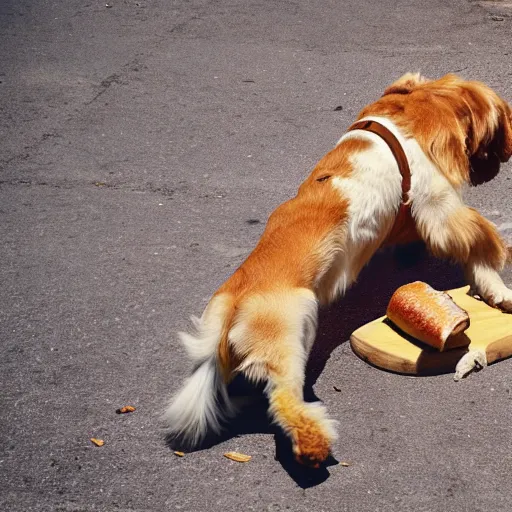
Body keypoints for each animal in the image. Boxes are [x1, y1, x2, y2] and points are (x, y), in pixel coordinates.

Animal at [164, 73, 512, 468]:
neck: (420, 105)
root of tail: (231, 304)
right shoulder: (439, 207)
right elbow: (481, 236)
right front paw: (498, 281)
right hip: (294, 332)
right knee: (284, 399)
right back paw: (314, 444)